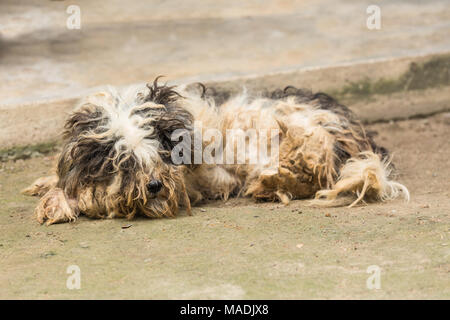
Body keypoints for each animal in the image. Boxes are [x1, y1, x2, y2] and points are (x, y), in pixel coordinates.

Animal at [21, 77, 410, 225]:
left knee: (313, 169)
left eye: (161, 152)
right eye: (123, 162)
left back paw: (273, 178)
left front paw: (61, 201)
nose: (155, 186)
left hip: (287, 129)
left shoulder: (196, 181)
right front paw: (49, 187)